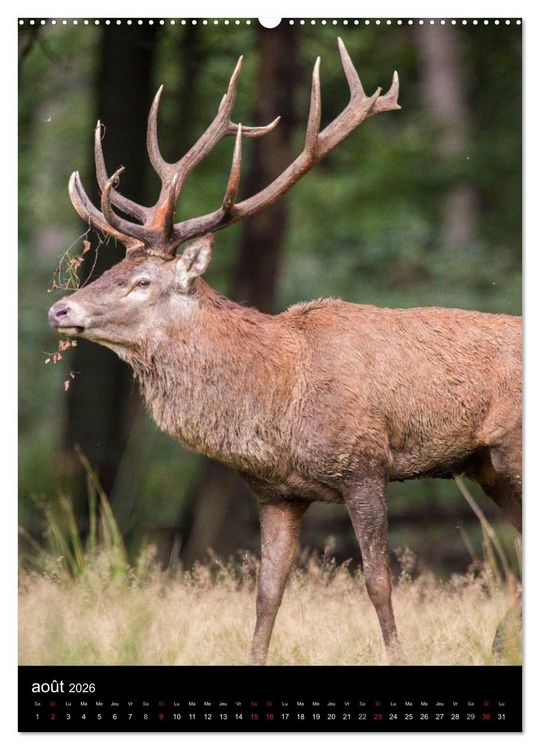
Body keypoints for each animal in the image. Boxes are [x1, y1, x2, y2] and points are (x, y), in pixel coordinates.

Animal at [48, 39, 521, 665]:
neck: (280, 404)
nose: (60, 310)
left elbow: (378, 582)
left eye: (142, 281)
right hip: (490, 468)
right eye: (112, 269)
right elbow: (267, 594)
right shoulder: (276, 494)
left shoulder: (365, 464)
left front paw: (397, 654)